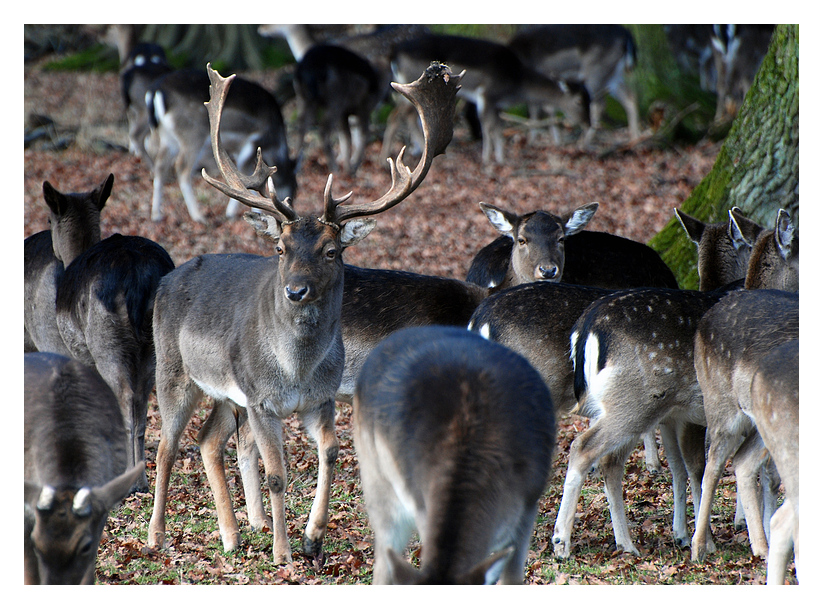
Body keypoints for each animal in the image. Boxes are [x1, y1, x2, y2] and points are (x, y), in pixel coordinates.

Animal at [23, 173, 174, 492]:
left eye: (49, 217)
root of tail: (138, 280)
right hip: (154, 347)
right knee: (142, 405)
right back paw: (140, 476)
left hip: (106, 342)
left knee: (126, 401)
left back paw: (128, 479)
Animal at [145, 61, 460, 560]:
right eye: (280, 247)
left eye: (332, 251)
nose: (295, 290)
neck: (296, 368)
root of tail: (167, 279)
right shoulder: (261, 399)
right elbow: (278, 473)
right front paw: (283, 552)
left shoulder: (320, 398)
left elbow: (330, 453)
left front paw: (312, 536)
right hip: (173, 371)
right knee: (166, 445)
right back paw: (157, 535)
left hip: (226, 392)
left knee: (208, 440)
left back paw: (234, 533)